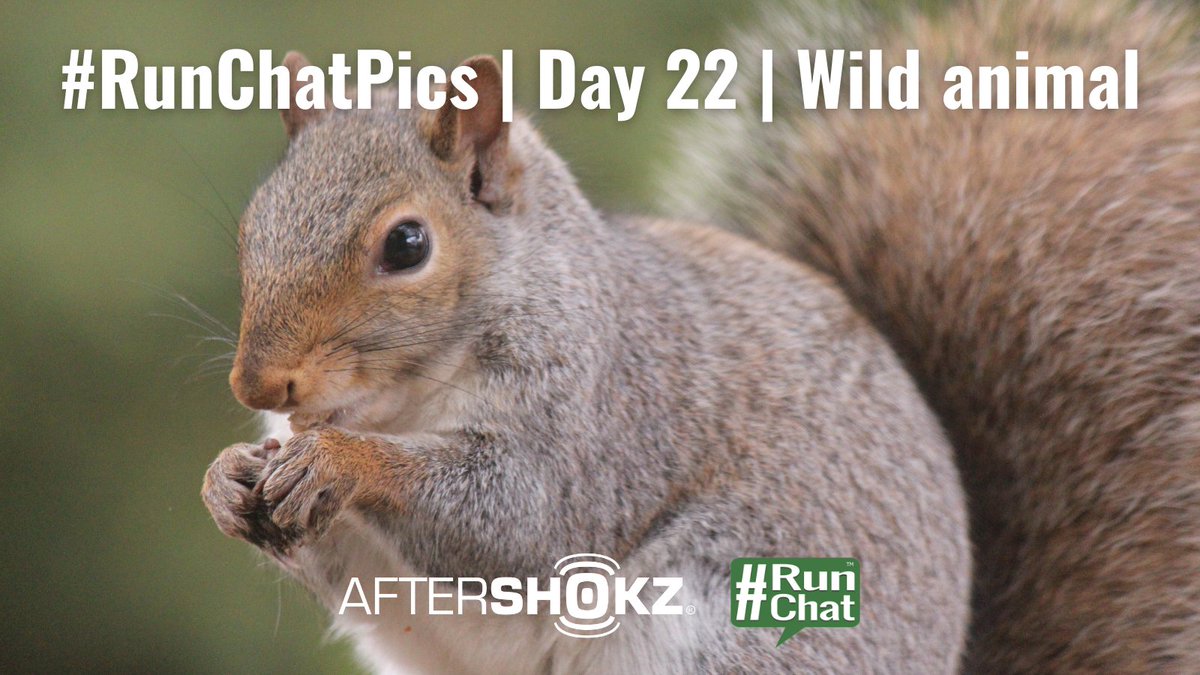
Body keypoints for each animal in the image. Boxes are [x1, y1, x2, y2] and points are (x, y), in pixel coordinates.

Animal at [200, 0, 1199, 673]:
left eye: (407, 244)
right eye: (252, 221)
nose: (257, 387)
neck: (400, 399)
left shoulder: (604, 414)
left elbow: (517, 518)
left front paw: (345, 462)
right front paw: (227, 478)